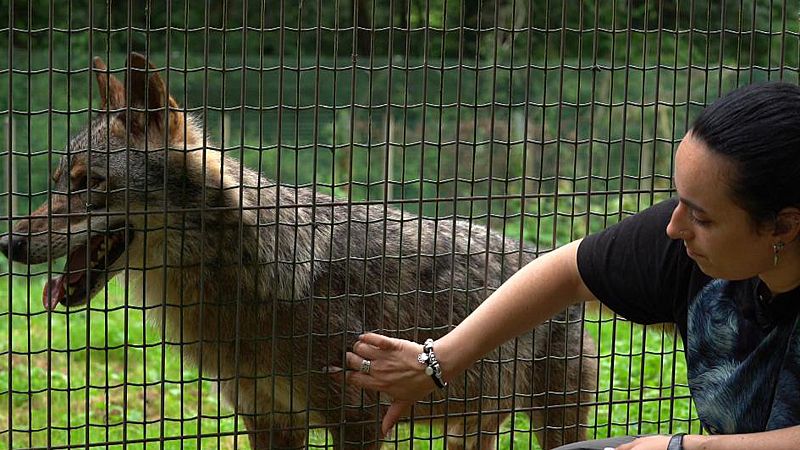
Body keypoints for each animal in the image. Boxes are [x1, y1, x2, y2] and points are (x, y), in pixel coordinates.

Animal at [0, 53, 597, 449]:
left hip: (552, 422)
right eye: (59, 182)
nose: (10, 242)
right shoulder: (267, 418)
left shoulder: (356, 421)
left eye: (90, 184)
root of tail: (546, 251)